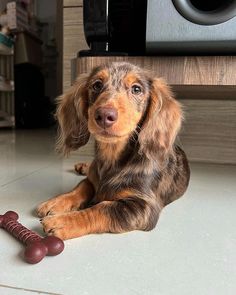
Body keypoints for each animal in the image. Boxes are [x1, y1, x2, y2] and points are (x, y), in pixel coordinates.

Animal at [37, 61, 192, 240]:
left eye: (136, 89)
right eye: (97, 85)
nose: (104, 115)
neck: (111, 157)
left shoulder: (143, 207)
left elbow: (102, 208)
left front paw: (63, 221)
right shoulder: (92, 180)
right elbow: (81, 187)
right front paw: (57, 201)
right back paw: (83, 166)